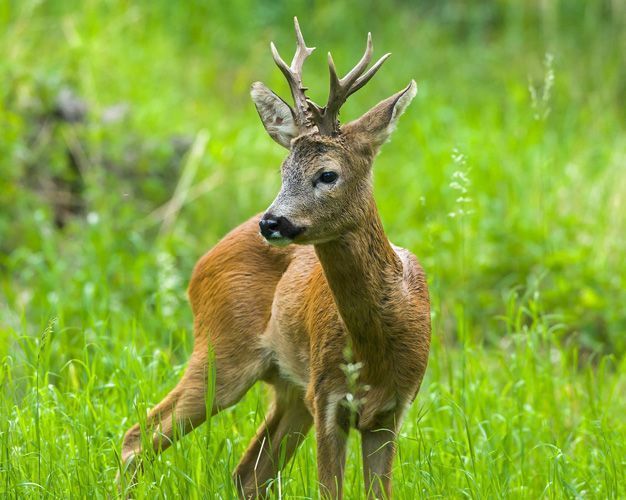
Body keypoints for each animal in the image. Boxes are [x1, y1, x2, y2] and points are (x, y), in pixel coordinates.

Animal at [118, 16, 428, 500]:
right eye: (284, 170)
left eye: (327, 174)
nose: (272, 223)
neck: (376, 346)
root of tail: (201, 265)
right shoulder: (328, 397)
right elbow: (329, 490)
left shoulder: (390, 411)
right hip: (222, 351)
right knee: (137, 439)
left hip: (288, 388)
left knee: (248, 473)